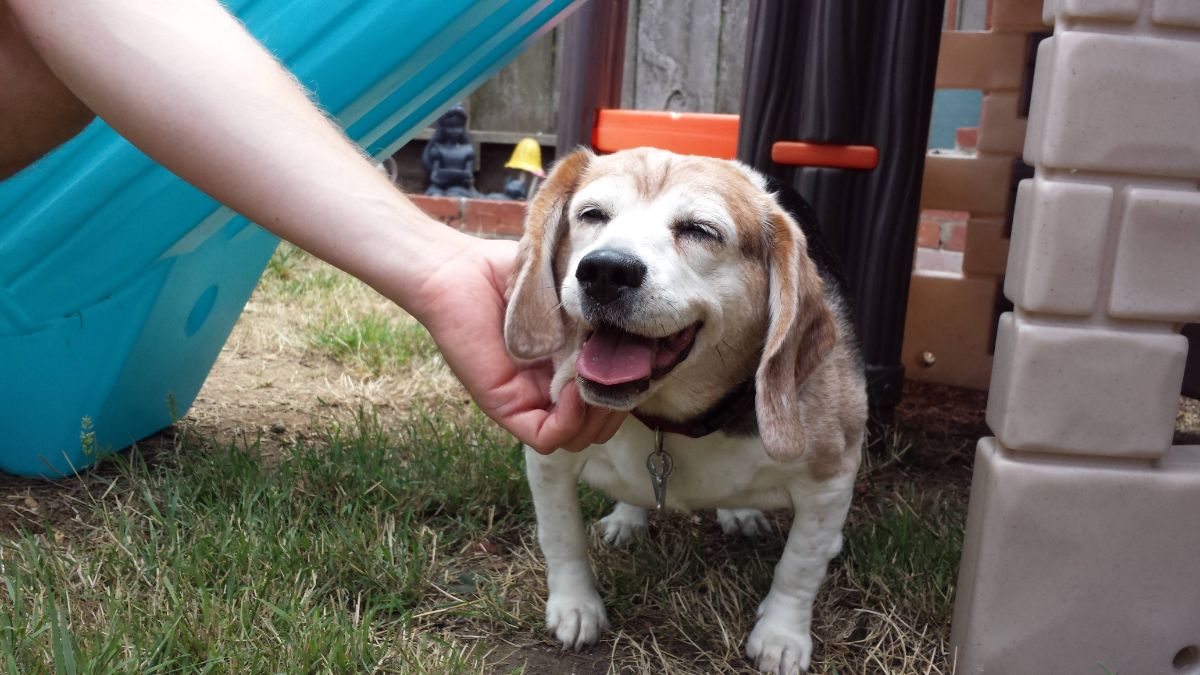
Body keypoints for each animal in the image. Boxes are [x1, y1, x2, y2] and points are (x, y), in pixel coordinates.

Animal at [501, 147, 868, 672]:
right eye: (592, 215)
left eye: (700, 230)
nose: (605, 270)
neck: (670, 419)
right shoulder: (548, 457)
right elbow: (560, 535)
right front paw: (575, 607)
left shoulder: (832, 478)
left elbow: (800, 567)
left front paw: (781, 636)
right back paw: (628, 519)